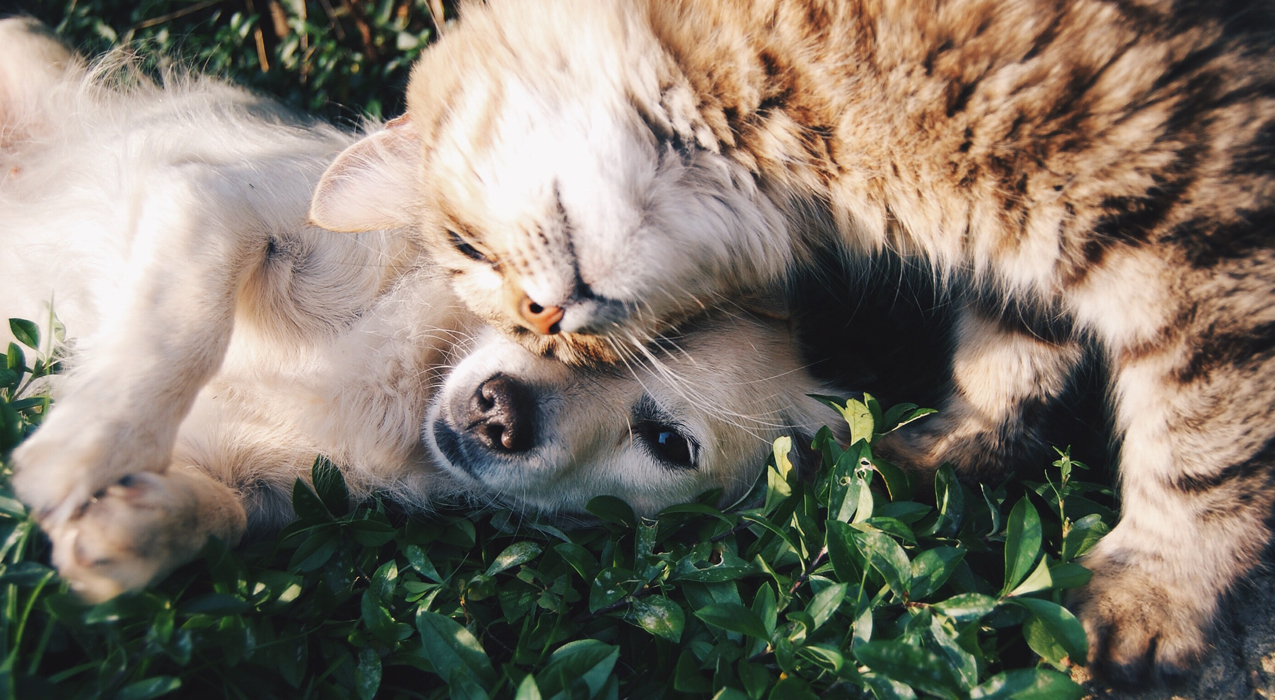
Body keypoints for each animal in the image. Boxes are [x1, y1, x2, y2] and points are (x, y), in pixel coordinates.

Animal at [2, 20, 846, 599]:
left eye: (668, 443)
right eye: (539, 311)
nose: (499, 412)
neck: (407, 384)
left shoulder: (271, 486)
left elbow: (226, 515)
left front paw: (132, 529)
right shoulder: (216, 201)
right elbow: (181, 331)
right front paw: (83, 448)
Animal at [308, 0, 1275, 683]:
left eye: (465, 248)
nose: (541, 323)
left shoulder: (1199, 216)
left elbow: (1202, 442)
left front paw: (1157, 593)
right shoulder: (1030, 246)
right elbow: (1009, 353)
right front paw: (946, 451)